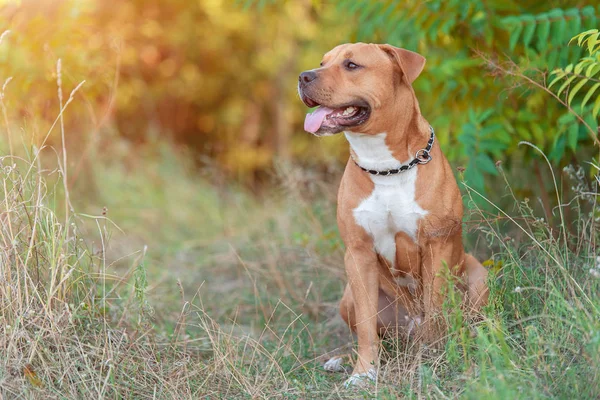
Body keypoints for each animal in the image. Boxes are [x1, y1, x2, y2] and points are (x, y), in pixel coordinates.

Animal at [298, 43, 490, 388]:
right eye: (322, 62)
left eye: (351, 65)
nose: (304, 76)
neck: (385, 165)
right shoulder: (358, 253)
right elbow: (366, 327)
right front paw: (363, 373)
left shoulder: (436, 244)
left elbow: (435, 308)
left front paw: (432, 361)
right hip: (348, 297)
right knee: (377, 334)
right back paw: (340, 360)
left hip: (479, 278)